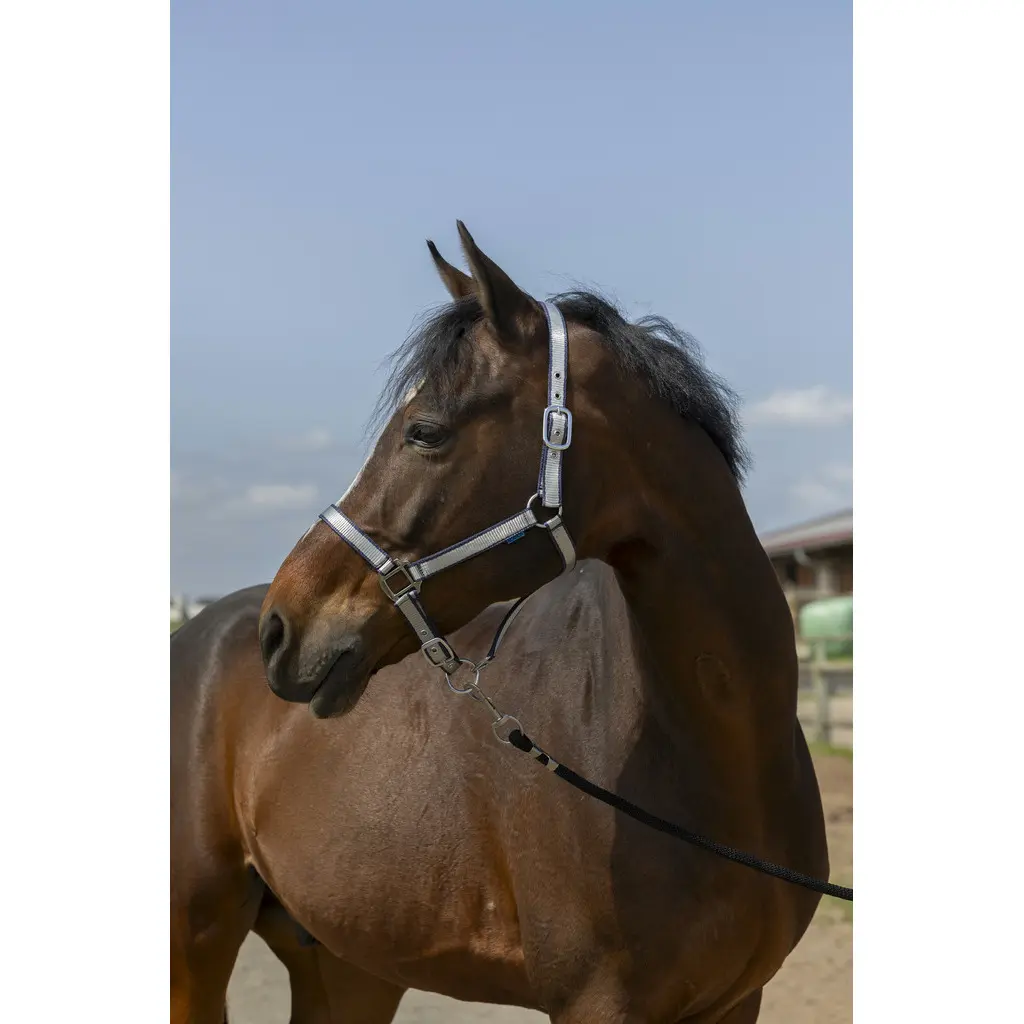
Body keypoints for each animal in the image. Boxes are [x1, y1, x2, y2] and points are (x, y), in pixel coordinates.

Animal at [170, 223, 829, 1023]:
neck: (725, 769)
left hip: (346, 966)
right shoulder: (597, 1006)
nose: (280, 628)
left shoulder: (737, 1002)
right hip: (196, 948)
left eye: (424, 431)